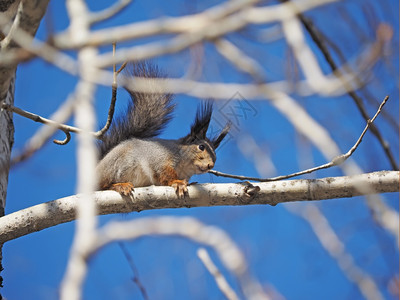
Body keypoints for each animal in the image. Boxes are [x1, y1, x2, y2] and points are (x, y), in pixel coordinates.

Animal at [95, 62, 230, 198]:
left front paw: (188, 183)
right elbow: (164, 173)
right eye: (201, 147)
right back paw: (120, 185)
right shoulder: (160, 158)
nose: (210, 165)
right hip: (116, 164)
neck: (185, 165)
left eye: (215, 155)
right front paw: (177, 183)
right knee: (103, 185)